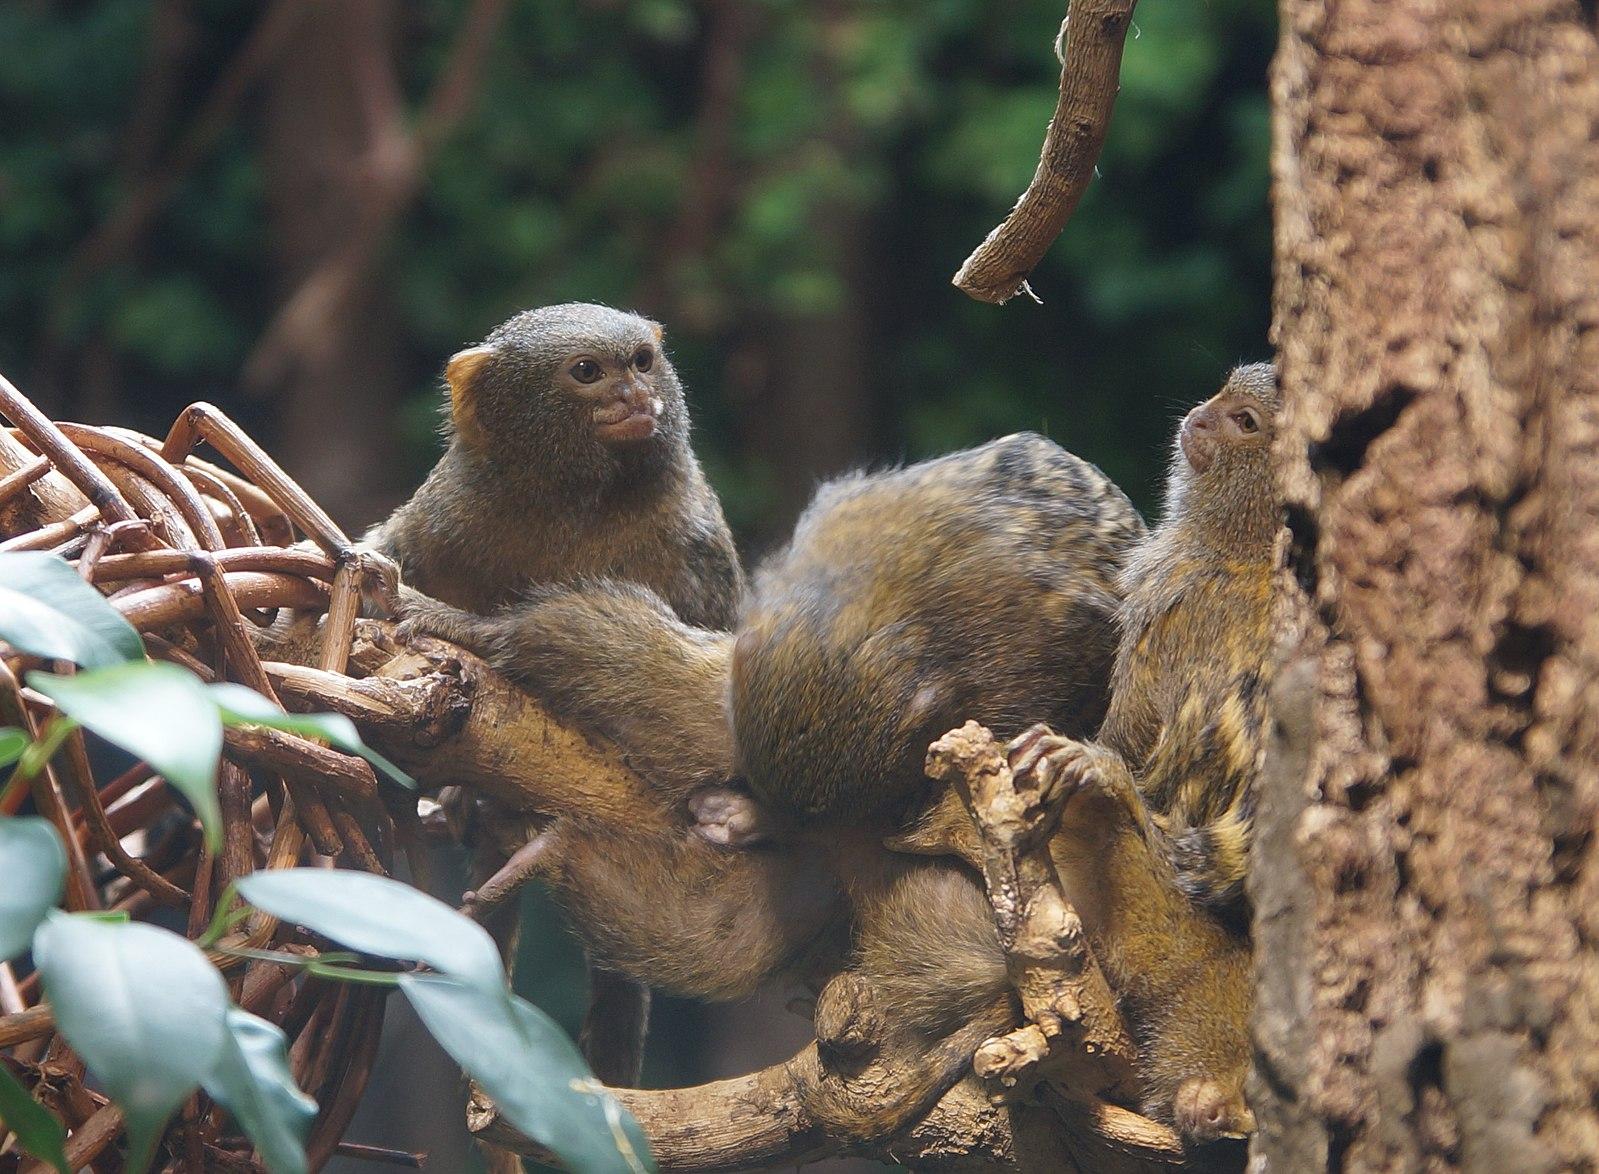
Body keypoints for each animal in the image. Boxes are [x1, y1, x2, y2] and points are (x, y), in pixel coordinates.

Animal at [367, 302, 744, 1087]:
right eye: (587, 372)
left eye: (640, 362)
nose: (636, 397)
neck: (574, 506)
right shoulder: (444, 511)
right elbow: (386, 551)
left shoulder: (695, 542)